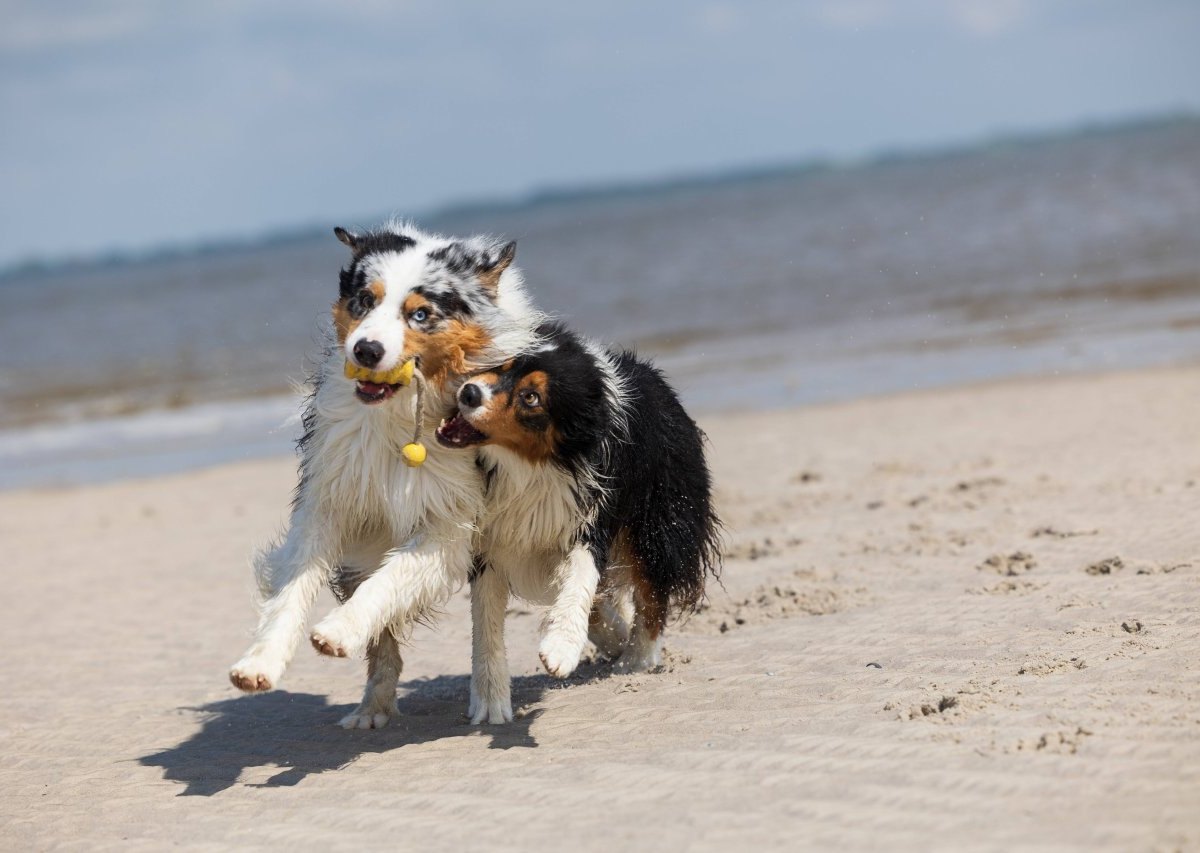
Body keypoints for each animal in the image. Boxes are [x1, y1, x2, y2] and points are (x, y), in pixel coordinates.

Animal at [224, 220, 540, 729]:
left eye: (421, 314)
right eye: (363, 300)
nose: (366, 350)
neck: (397, 416)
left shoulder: (450, 522)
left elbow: (391, 581)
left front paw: (337, 630)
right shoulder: (330, 498)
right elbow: (294, 589)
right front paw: (260, 662)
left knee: (487, 620)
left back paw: (492, 699)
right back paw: (372, 708)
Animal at [439, 321, 724, 719]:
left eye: (531, 397)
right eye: (504, 365)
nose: (468, 392)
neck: (532, 466)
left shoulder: (590, 519)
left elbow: (581, 578)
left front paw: (560, 649)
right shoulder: (491, 539)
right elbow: (486, 620)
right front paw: (490, 701)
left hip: (658, 522)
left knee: (653, 592)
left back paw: (636, 659)